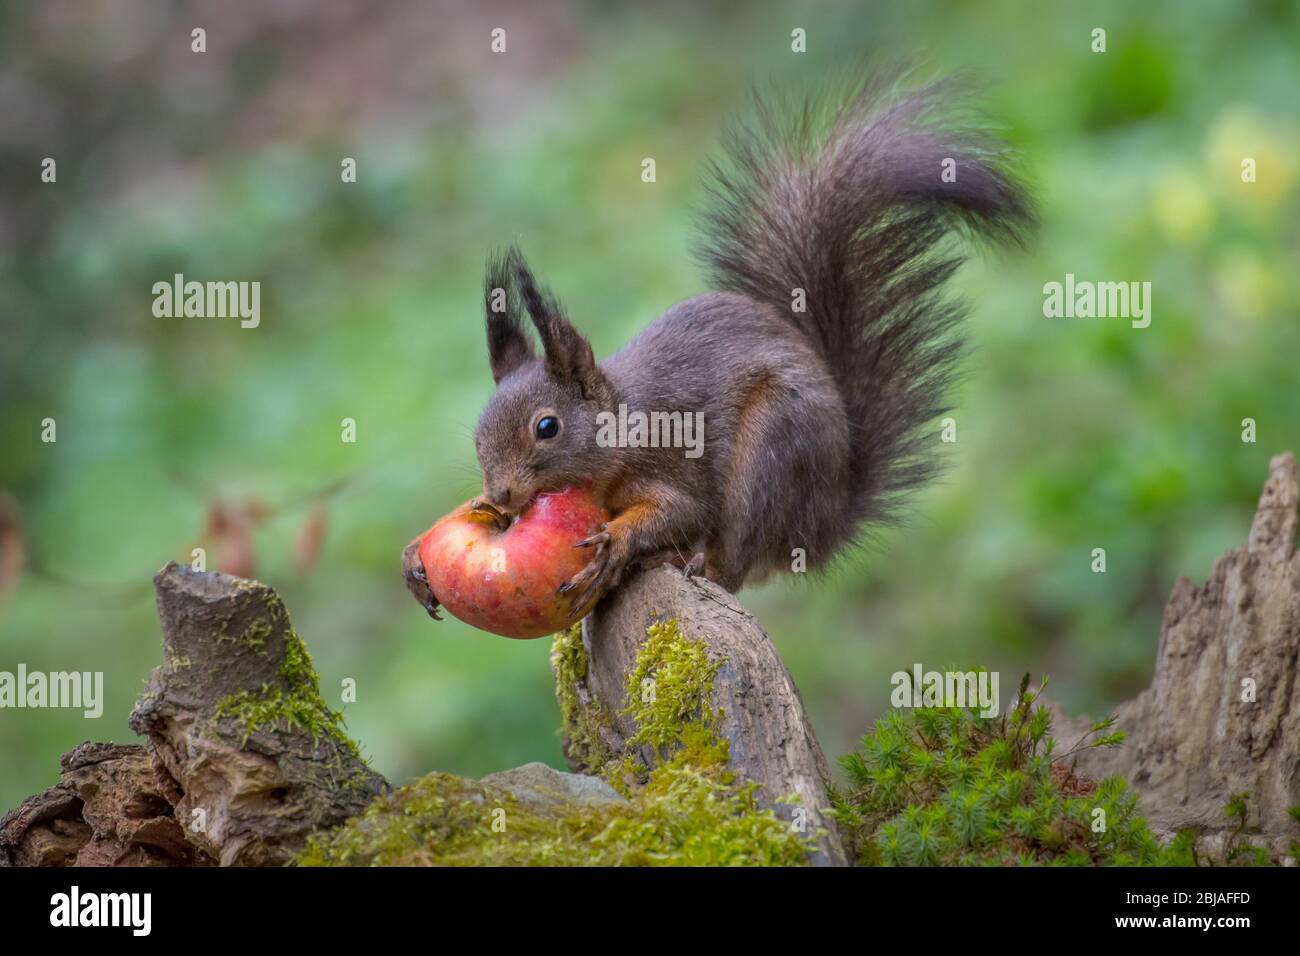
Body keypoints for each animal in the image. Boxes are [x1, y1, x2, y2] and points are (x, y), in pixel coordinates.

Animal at [404, 70, 1032, 620]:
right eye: (479, 434)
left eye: (547, 427)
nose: (503, 497)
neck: (621, 427)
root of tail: (825, 525)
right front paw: (418, 556)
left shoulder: (670, 460)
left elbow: (679, 510)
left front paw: (618, 540)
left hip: (773, 448)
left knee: (732, 567)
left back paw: (683, 560)